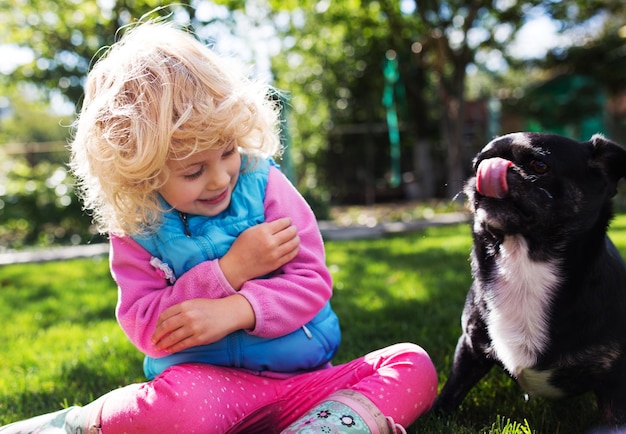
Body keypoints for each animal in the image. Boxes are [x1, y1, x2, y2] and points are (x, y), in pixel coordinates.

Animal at [432, 132, 624, 428]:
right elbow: (450, 392)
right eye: (477, 165)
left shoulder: (614, 382)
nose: (491, 167)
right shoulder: (468, 348)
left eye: (539, 165)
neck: (524, 265)